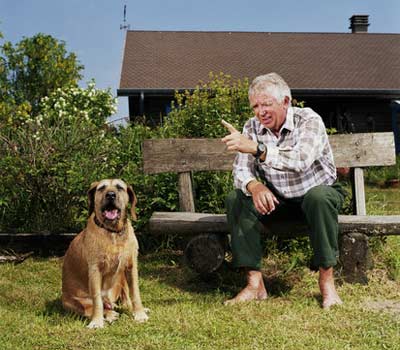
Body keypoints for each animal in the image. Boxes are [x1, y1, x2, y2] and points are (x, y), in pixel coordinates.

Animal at [61, 179, 149, 330]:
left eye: (120, 187)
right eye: (102, 188)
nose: (111, 195)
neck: (113, 232)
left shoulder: (131, 266)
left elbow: (135, 293)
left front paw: (139, 313)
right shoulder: (95, 269)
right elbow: (96, 300)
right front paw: (97, 321)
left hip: (121, 276)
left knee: (124, 299)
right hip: (71, 301)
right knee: (92, 307)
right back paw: (109, 314)